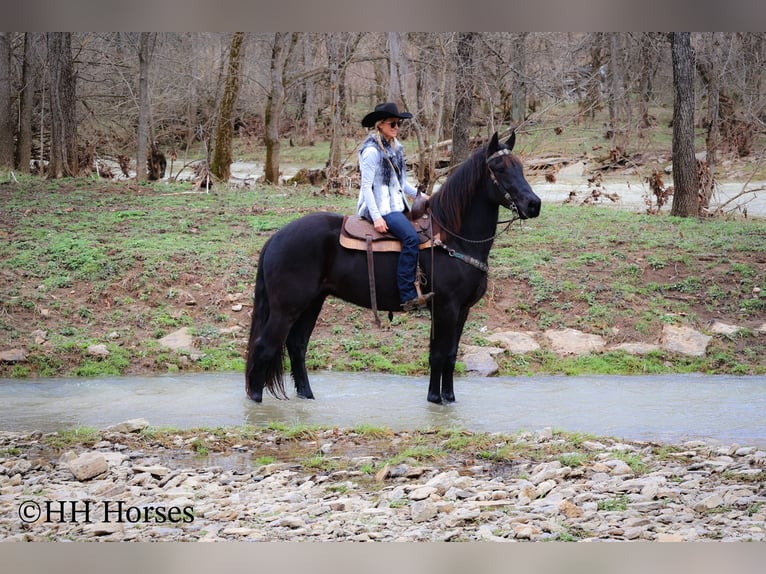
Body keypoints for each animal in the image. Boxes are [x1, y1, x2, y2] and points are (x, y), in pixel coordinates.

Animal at [246, 133, 540, 408]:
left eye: (519, 166)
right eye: (499, 168)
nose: (533, 204)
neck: (452, 238)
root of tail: (276, 238)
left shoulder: (462, 310)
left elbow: (451, 354)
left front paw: (449, 397)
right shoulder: (446, 307)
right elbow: (439, 354)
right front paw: (435, 398)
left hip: (312, 303)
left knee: (297, 346)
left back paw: (307, 395)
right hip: (287, 308)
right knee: (265, 346)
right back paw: (256, 400)